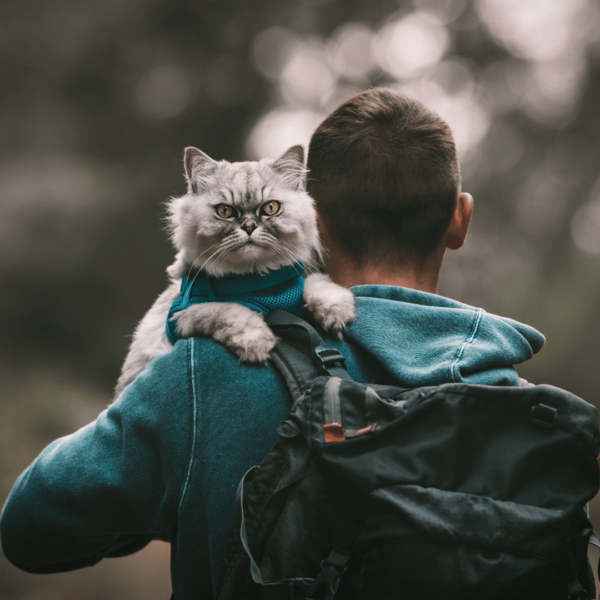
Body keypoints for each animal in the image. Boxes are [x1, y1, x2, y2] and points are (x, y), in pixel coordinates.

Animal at [115, 145, 354, 398]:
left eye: (270, 208)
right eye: (225, 211)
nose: (249, 227)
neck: (255, 281)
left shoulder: (297, 282)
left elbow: (318, 283)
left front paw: (335, 312)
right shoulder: (183, 316)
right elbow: (229, 311)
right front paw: (258, 342)